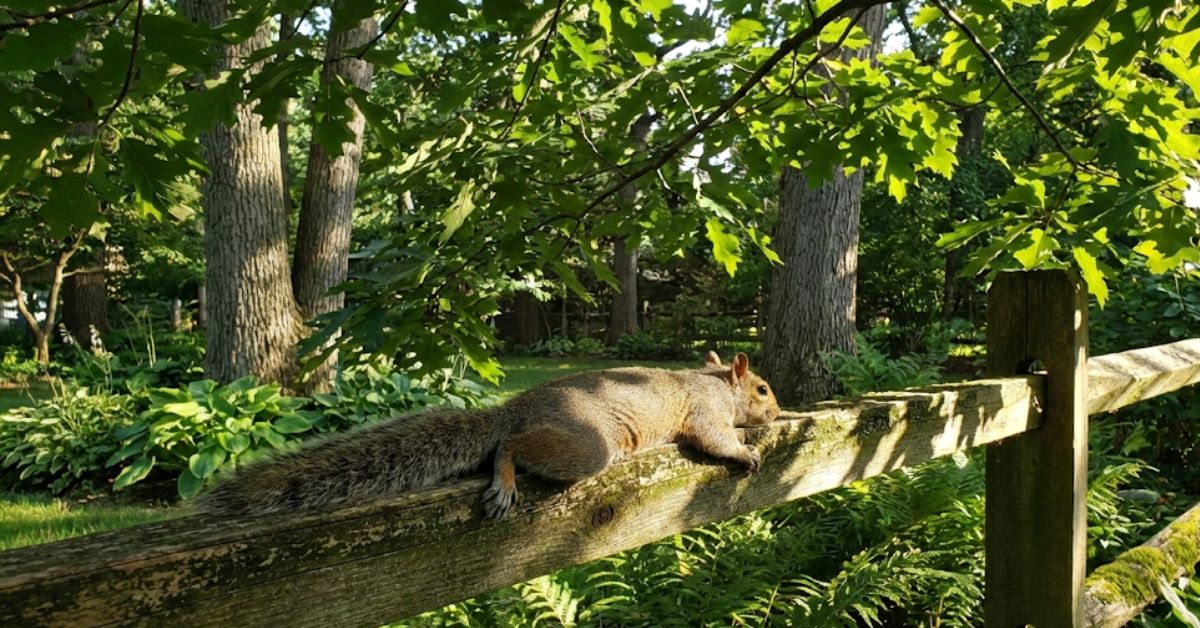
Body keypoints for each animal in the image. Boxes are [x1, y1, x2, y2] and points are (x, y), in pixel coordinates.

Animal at [199, 351, 781, 519]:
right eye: (762, 388)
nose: (778, 413)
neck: (714, 383)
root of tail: (511, 411)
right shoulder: (705, 412)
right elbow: (713, 439)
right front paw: (745, 453)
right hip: (587, 445)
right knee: (510, 446)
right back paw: (504, 482)